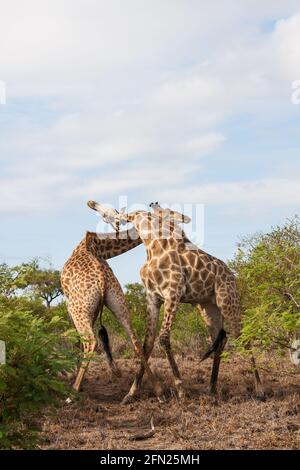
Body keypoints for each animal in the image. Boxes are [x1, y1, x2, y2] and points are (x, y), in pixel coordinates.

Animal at [61, 220, 164, 400]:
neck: (99, 247)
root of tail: (102, 280)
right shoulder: (94, 310)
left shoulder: (70, 303)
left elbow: (79, 342)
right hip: (118, 302)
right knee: (136, 342)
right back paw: (157, 392)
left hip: (77, 309)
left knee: (91, 341)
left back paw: (72, 394)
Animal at [89, 200, 264, 402]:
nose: (91, 203)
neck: (152, 245)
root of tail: (232, 275)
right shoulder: (153, 298)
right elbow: (147, 343)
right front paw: (131, 393)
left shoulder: (173, 293)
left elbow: (164, 337)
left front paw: (181, 389)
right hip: (208, 308)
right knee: (219, 340)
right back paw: (211, 388)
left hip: (228, 301)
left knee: (243, 337)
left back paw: (259, 389)